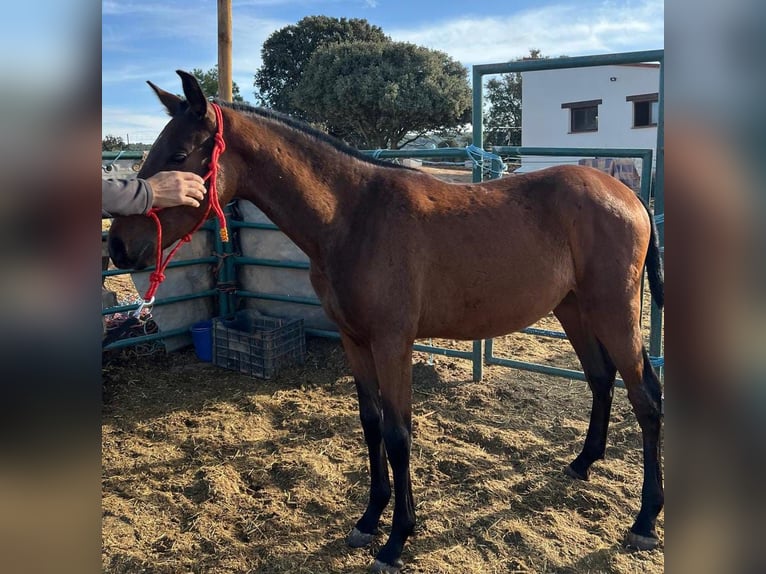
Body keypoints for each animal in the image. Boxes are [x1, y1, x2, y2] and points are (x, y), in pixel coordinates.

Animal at [108, 71, 664, 573]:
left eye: (178, 156)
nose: (118, 246)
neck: (352, 217)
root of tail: (629, 196)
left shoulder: (393, 343)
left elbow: (399, 434)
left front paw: (397, 540)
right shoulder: (355, 341)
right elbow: (371, 423)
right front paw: (369, 519)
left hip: (613, 312)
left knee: (646, 399)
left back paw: (644, 521)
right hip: (573, 308)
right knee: (601, 380)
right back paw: (583, 464)